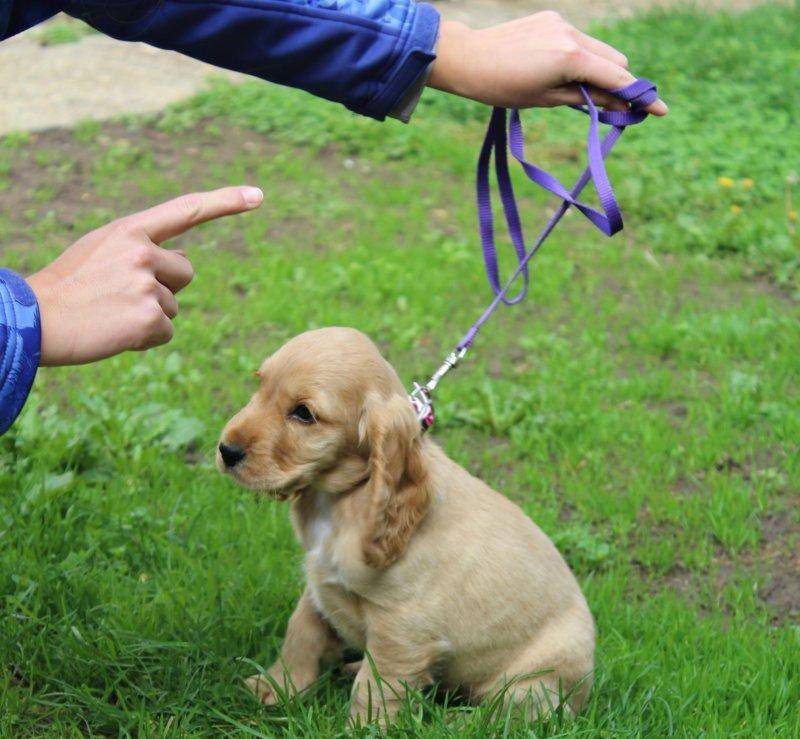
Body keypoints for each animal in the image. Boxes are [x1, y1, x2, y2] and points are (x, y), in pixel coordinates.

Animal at [219, 328, 592, 724]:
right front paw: (277, 687)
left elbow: (375, 686)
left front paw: (362, 727)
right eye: (259, 385)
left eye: (304, 414)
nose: (226, 450)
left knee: (505, 712)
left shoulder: (402, 627)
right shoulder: (320, 581)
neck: (344, 498)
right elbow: (301, 631)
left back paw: (457, 721)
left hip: (534, 680)